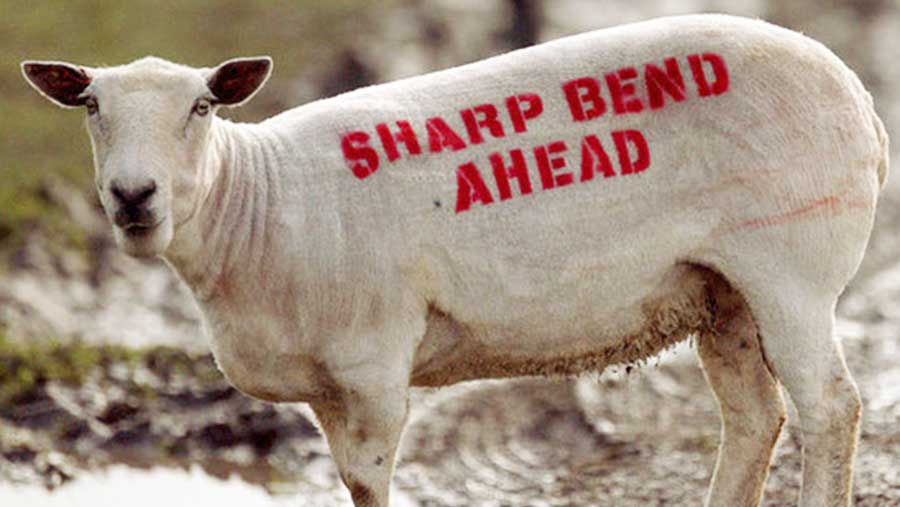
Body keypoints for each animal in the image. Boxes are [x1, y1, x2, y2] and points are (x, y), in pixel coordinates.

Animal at [21, 13, 888, 507]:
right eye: (90, 106)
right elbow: (350, 483)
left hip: (791, 266)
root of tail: (862, 103)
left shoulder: (373, 362)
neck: (254, 201)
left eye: (202, 107)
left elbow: (370, 481)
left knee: (830, 408)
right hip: (721, 289)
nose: (133, 195)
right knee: (755, 417)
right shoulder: (324, 384)